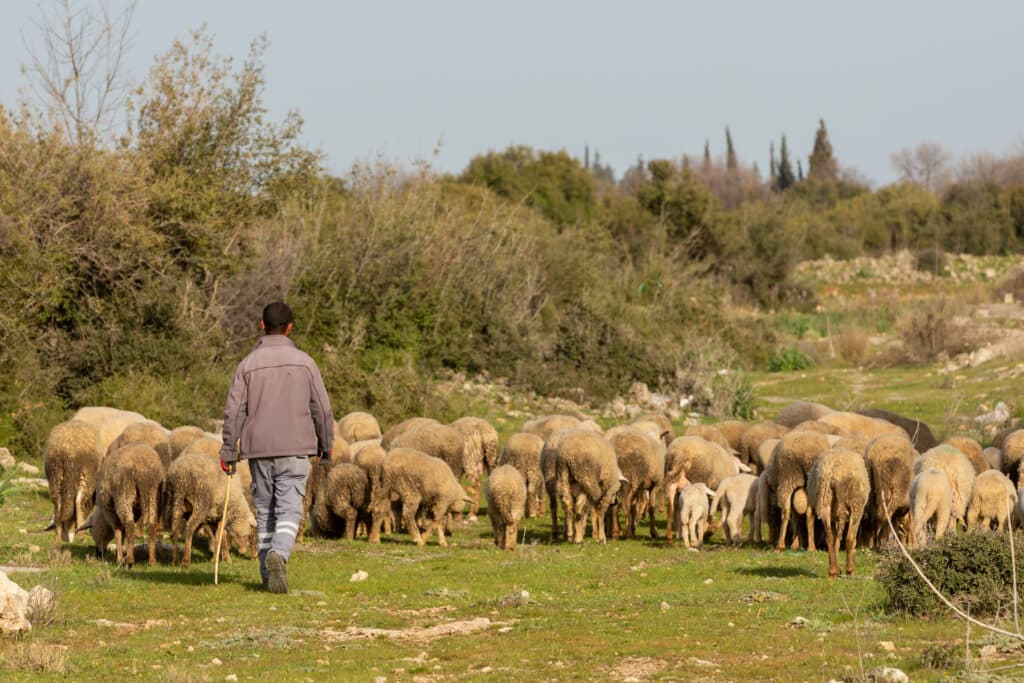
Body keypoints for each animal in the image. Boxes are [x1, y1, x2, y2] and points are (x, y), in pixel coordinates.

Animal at [807, 447, 870, 579]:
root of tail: (834, 472)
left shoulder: (834, 517)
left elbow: (836, 540)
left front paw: (837, 569)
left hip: (825, 501)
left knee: (830, 538)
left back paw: (832, 572)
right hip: (855, 505)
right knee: (850, 538)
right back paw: (850, 571)